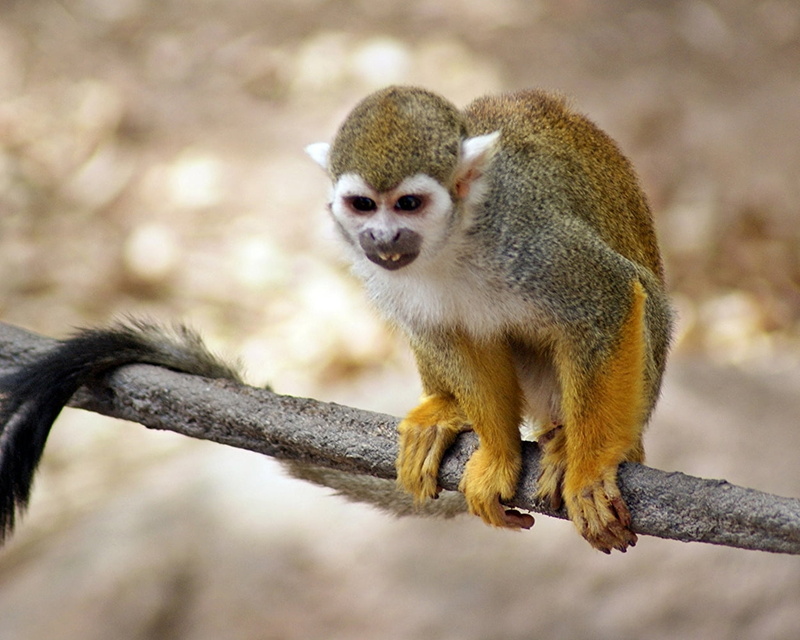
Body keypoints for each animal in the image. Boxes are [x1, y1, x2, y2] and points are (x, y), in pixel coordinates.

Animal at [306, 86, 672, 553]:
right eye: (363, 205)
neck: (452, 241)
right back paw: (448, 410)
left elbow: (611, 300)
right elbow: (458, 342)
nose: (383, 237)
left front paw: (589, 473)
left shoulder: (530, 238)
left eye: (408, 204)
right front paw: (499, 458)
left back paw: (575, 445)